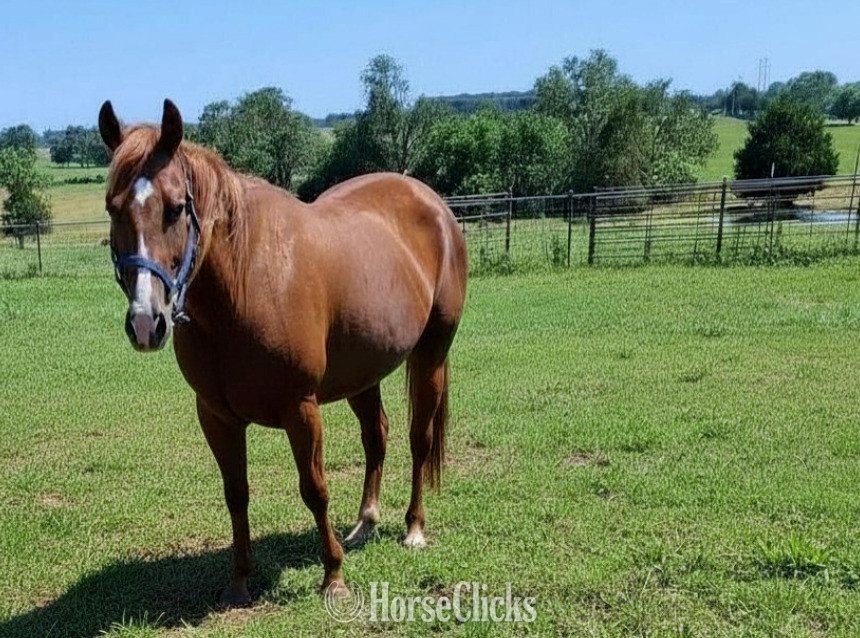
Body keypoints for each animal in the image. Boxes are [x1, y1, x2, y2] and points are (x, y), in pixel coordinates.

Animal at [98, 99, 468, 606]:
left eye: (174, 210)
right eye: (113, 208)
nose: (144, 322)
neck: (243, 284)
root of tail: (435, 205)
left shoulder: (301, 409)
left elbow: (315, 489)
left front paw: (333, 577)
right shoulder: (216, 416)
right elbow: (236, 492)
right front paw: (239, 580)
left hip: (430, 354)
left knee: (419, 438)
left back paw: (413, 528)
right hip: (362, 372)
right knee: (377, 435)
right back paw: (366, 522)